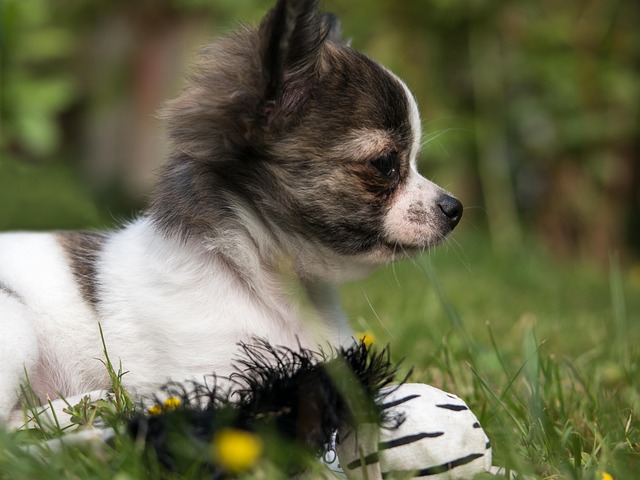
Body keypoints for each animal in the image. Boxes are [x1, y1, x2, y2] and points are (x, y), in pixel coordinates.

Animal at [0, 0, 460, 428]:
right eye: (384, 164)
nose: (454, 208)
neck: (264, 286)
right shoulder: (215, 382)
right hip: (15, 324)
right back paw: (91, 408)